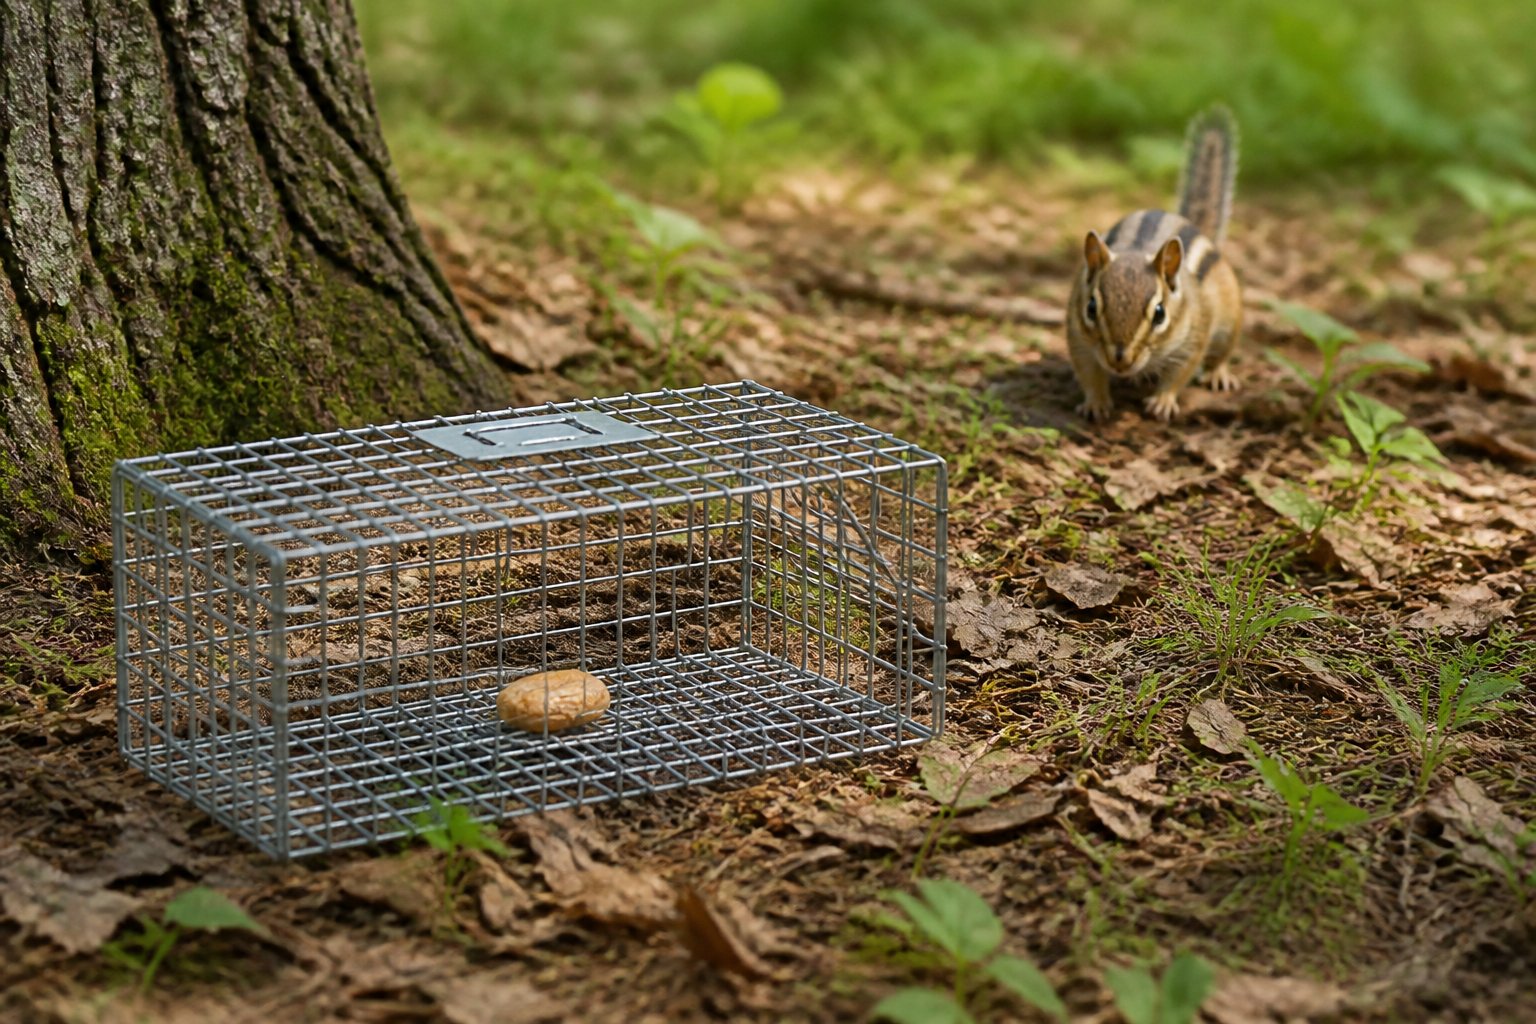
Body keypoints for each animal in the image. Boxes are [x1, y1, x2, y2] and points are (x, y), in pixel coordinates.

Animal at [1066, 107, 1243, 422]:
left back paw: (1219, 375)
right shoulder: (1077, 335)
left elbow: (1180, 373)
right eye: (1091, 308)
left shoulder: (1194, 336)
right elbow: (1088, 371)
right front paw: (1096, 401)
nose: (1120, 361)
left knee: (1222, 353)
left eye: (1160, 314)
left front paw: (1163, 400)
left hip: (1230, 319)